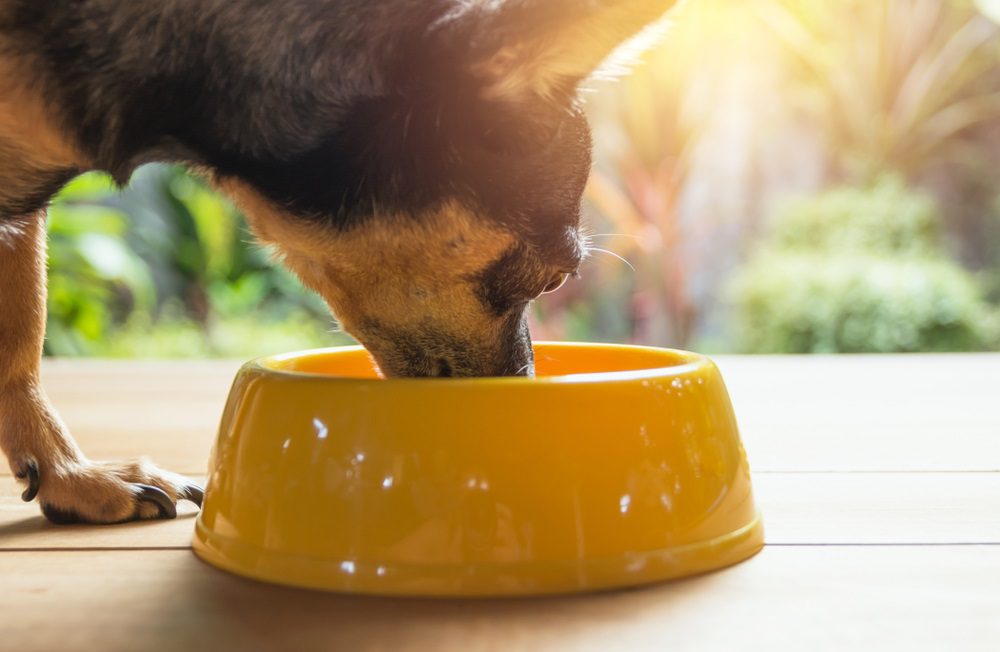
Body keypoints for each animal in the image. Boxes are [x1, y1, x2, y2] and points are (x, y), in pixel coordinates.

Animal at [0, 0, 680, 524]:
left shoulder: (20, 213)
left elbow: (20, 339)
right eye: (555, 279)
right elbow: (25, 334)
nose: (523, 398)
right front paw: (74, 473)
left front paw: (69, 476)